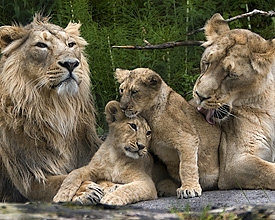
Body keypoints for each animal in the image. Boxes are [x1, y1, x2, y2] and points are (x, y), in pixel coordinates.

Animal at [0, 14, 101, 202]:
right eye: (41, 45)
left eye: (71, 44)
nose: (71, 63)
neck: (57, 109)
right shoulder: (31, 178)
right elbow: (63, 180)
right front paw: (85, 190)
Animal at [115, 67, 221, 198]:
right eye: (121, 90)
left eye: (134, 92)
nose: (122, 107)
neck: (149, 114)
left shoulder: (187, 137)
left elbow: (186, 166)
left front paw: (189, 188)